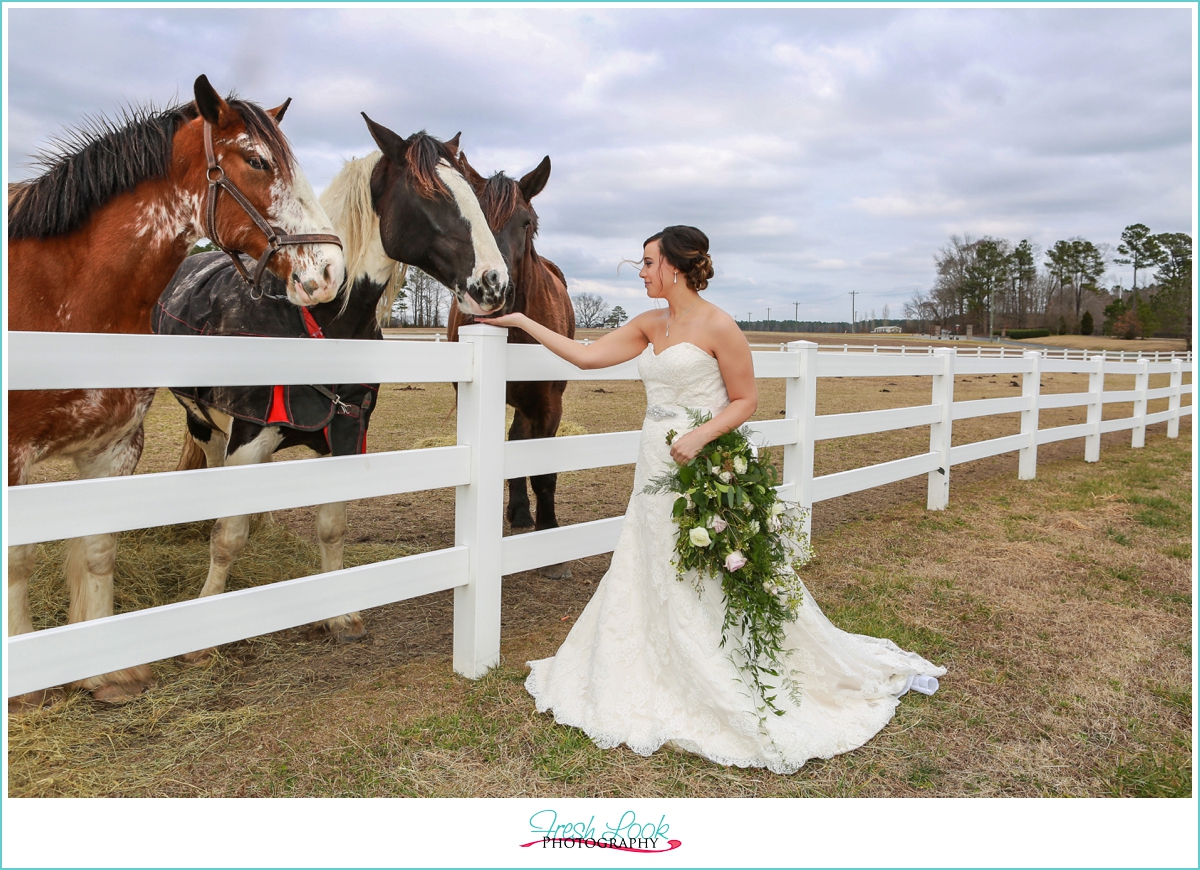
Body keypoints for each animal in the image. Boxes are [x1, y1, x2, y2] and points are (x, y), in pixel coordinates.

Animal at [8, 78, 348, 710]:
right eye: (258, 161)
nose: (331, 273)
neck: (61, 298)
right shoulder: (13, 457)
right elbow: (19, 558)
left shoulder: (115, 450)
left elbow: (98, 551)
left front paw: (107, 673)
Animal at [152, 118, 504, 652]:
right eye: (431, 193)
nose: (495, 283)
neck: (315, 323)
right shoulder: (247, 436)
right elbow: (227, 536)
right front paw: (206, 627)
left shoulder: (345, 434)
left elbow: (332, 526)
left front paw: (339, 614)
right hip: (201, 420)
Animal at [451, 154, 578, 576]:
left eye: (526, 222)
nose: (493, 289)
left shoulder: (548, 405)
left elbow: (544, 473)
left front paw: (549, 539)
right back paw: (519, 511)